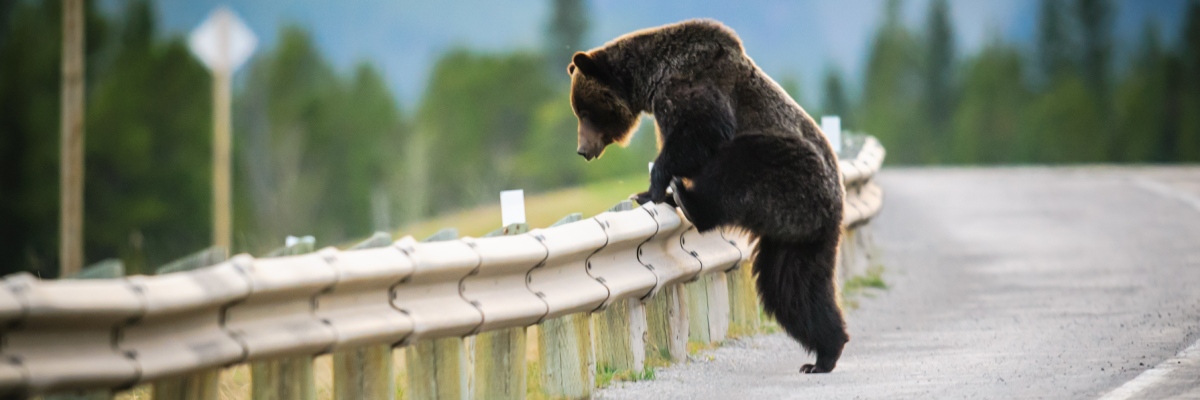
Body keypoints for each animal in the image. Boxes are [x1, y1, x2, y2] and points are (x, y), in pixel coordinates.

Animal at [566, 19, 849, 374]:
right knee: (793, 286)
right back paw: (825, 354)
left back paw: (688, 201)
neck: (650, 79)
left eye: (586, 111)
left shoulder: (690, 85)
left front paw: (650, 190)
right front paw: (650, 191)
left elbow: (700, 131)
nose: (582, 149)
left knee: (741, 162)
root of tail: (837, 202)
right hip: (797, 236)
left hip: (794, 176)